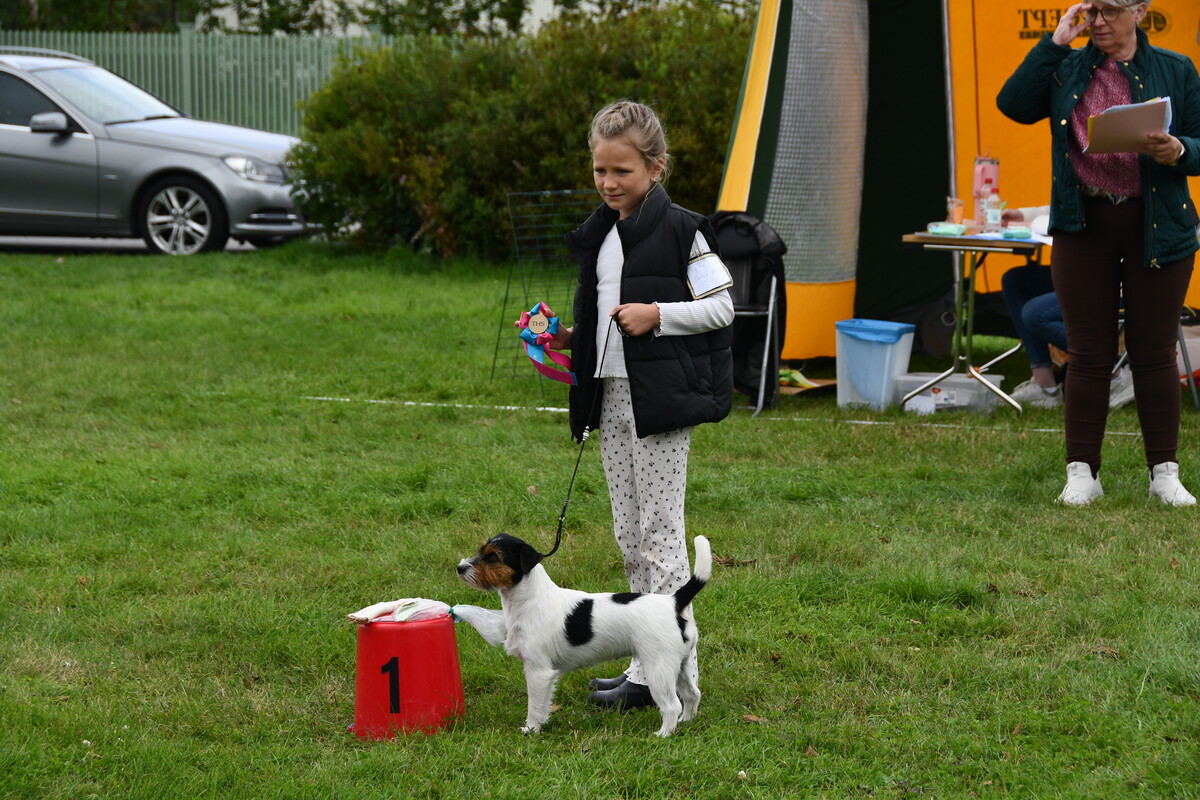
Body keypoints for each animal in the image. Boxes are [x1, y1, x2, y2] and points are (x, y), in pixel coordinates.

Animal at [456, 532, 711, 737]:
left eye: (493, 557)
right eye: (481, 551)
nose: (460, 568)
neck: (530, 599)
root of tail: (674, 601)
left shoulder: (538, 671)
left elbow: (534, 705)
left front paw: (531, 729)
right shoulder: (546, 674)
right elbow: (544, 703)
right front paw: (542, 724)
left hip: (658, 668)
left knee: (672, 705)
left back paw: (663, 734)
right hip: (680, 664)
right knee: (692, 694)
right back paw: (686, 722)